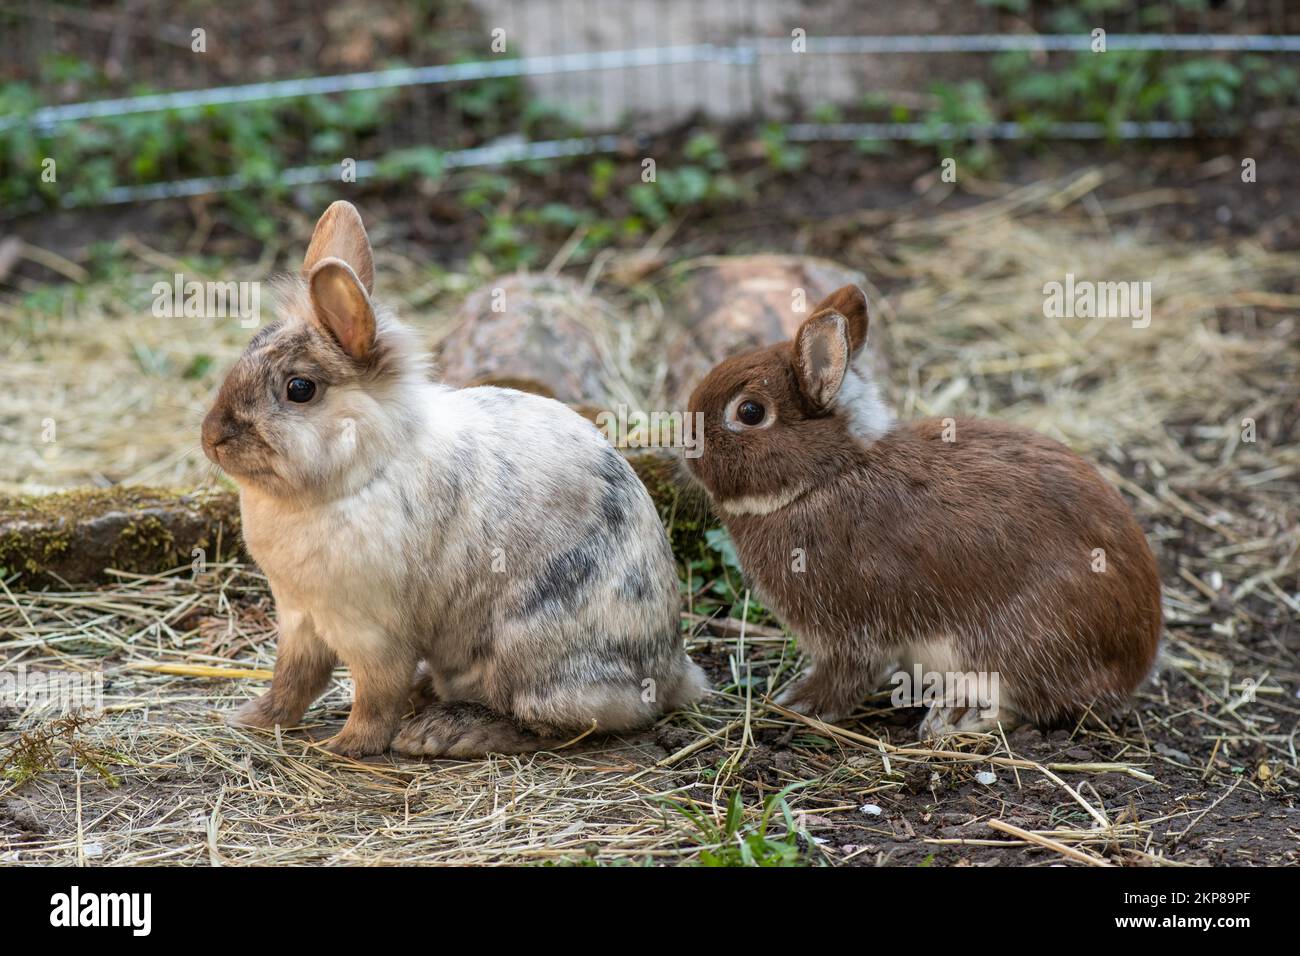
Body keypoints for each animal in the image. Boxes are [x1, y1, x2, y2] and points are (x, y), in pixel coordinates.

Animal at [201, 201, 707, 758]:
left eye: (300, 388)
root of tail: (670, 671)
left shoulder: (373, 632)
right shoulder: (299, 620)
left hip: (528, 653)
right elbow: (293, 680)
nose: (212, 437)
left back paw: (442, 731)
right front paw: (252, 719)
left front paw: (347, 746)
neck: (364, 472)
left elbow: (375, 696)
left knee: (549, 723)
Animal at [684, 284, 1162, 736]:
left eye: (750, 412)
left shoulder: (851, 628)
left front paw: (800, 702)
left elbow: (848, 673)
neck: (826, 476)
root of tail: (1134, 660)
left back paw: (953, 718)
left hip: (1021, 643)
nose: (687, 445)